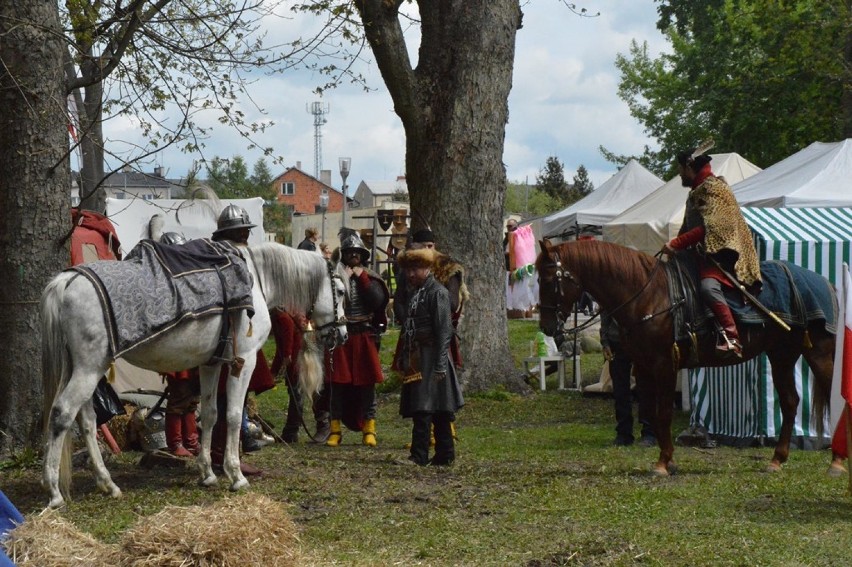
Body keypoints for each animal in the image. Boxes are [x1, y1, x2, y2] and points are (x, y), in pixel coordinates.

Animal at [40, 242, 346, 508]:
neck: (255, 280)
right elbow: (233, 416)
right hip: (89, 370)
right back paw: (54, 492)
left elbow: (209, 415)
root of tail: (68, 279)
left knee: (87, 420)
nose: (341, 334)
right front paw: (236, 475)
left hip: (85, 370)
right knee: (62, 414)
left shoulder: (210, 364)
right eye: (341, 291)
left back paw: (108, 484)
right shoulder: (243, 361)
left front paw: (207, 473)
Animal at [536, 237, 844, 478]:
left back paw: (837, 462)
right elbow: (651, 412)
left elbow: (663, 413)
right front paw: (666, 458)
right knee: (791, 402)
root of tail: (825, 283)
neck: (646, 295)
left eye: (548, 280)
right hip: (782, 355)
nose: (547, 327)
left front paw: (663, 463)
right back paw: (777, 459)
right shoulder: (644, 367)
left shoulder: (664, 365)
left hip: (819, 354)